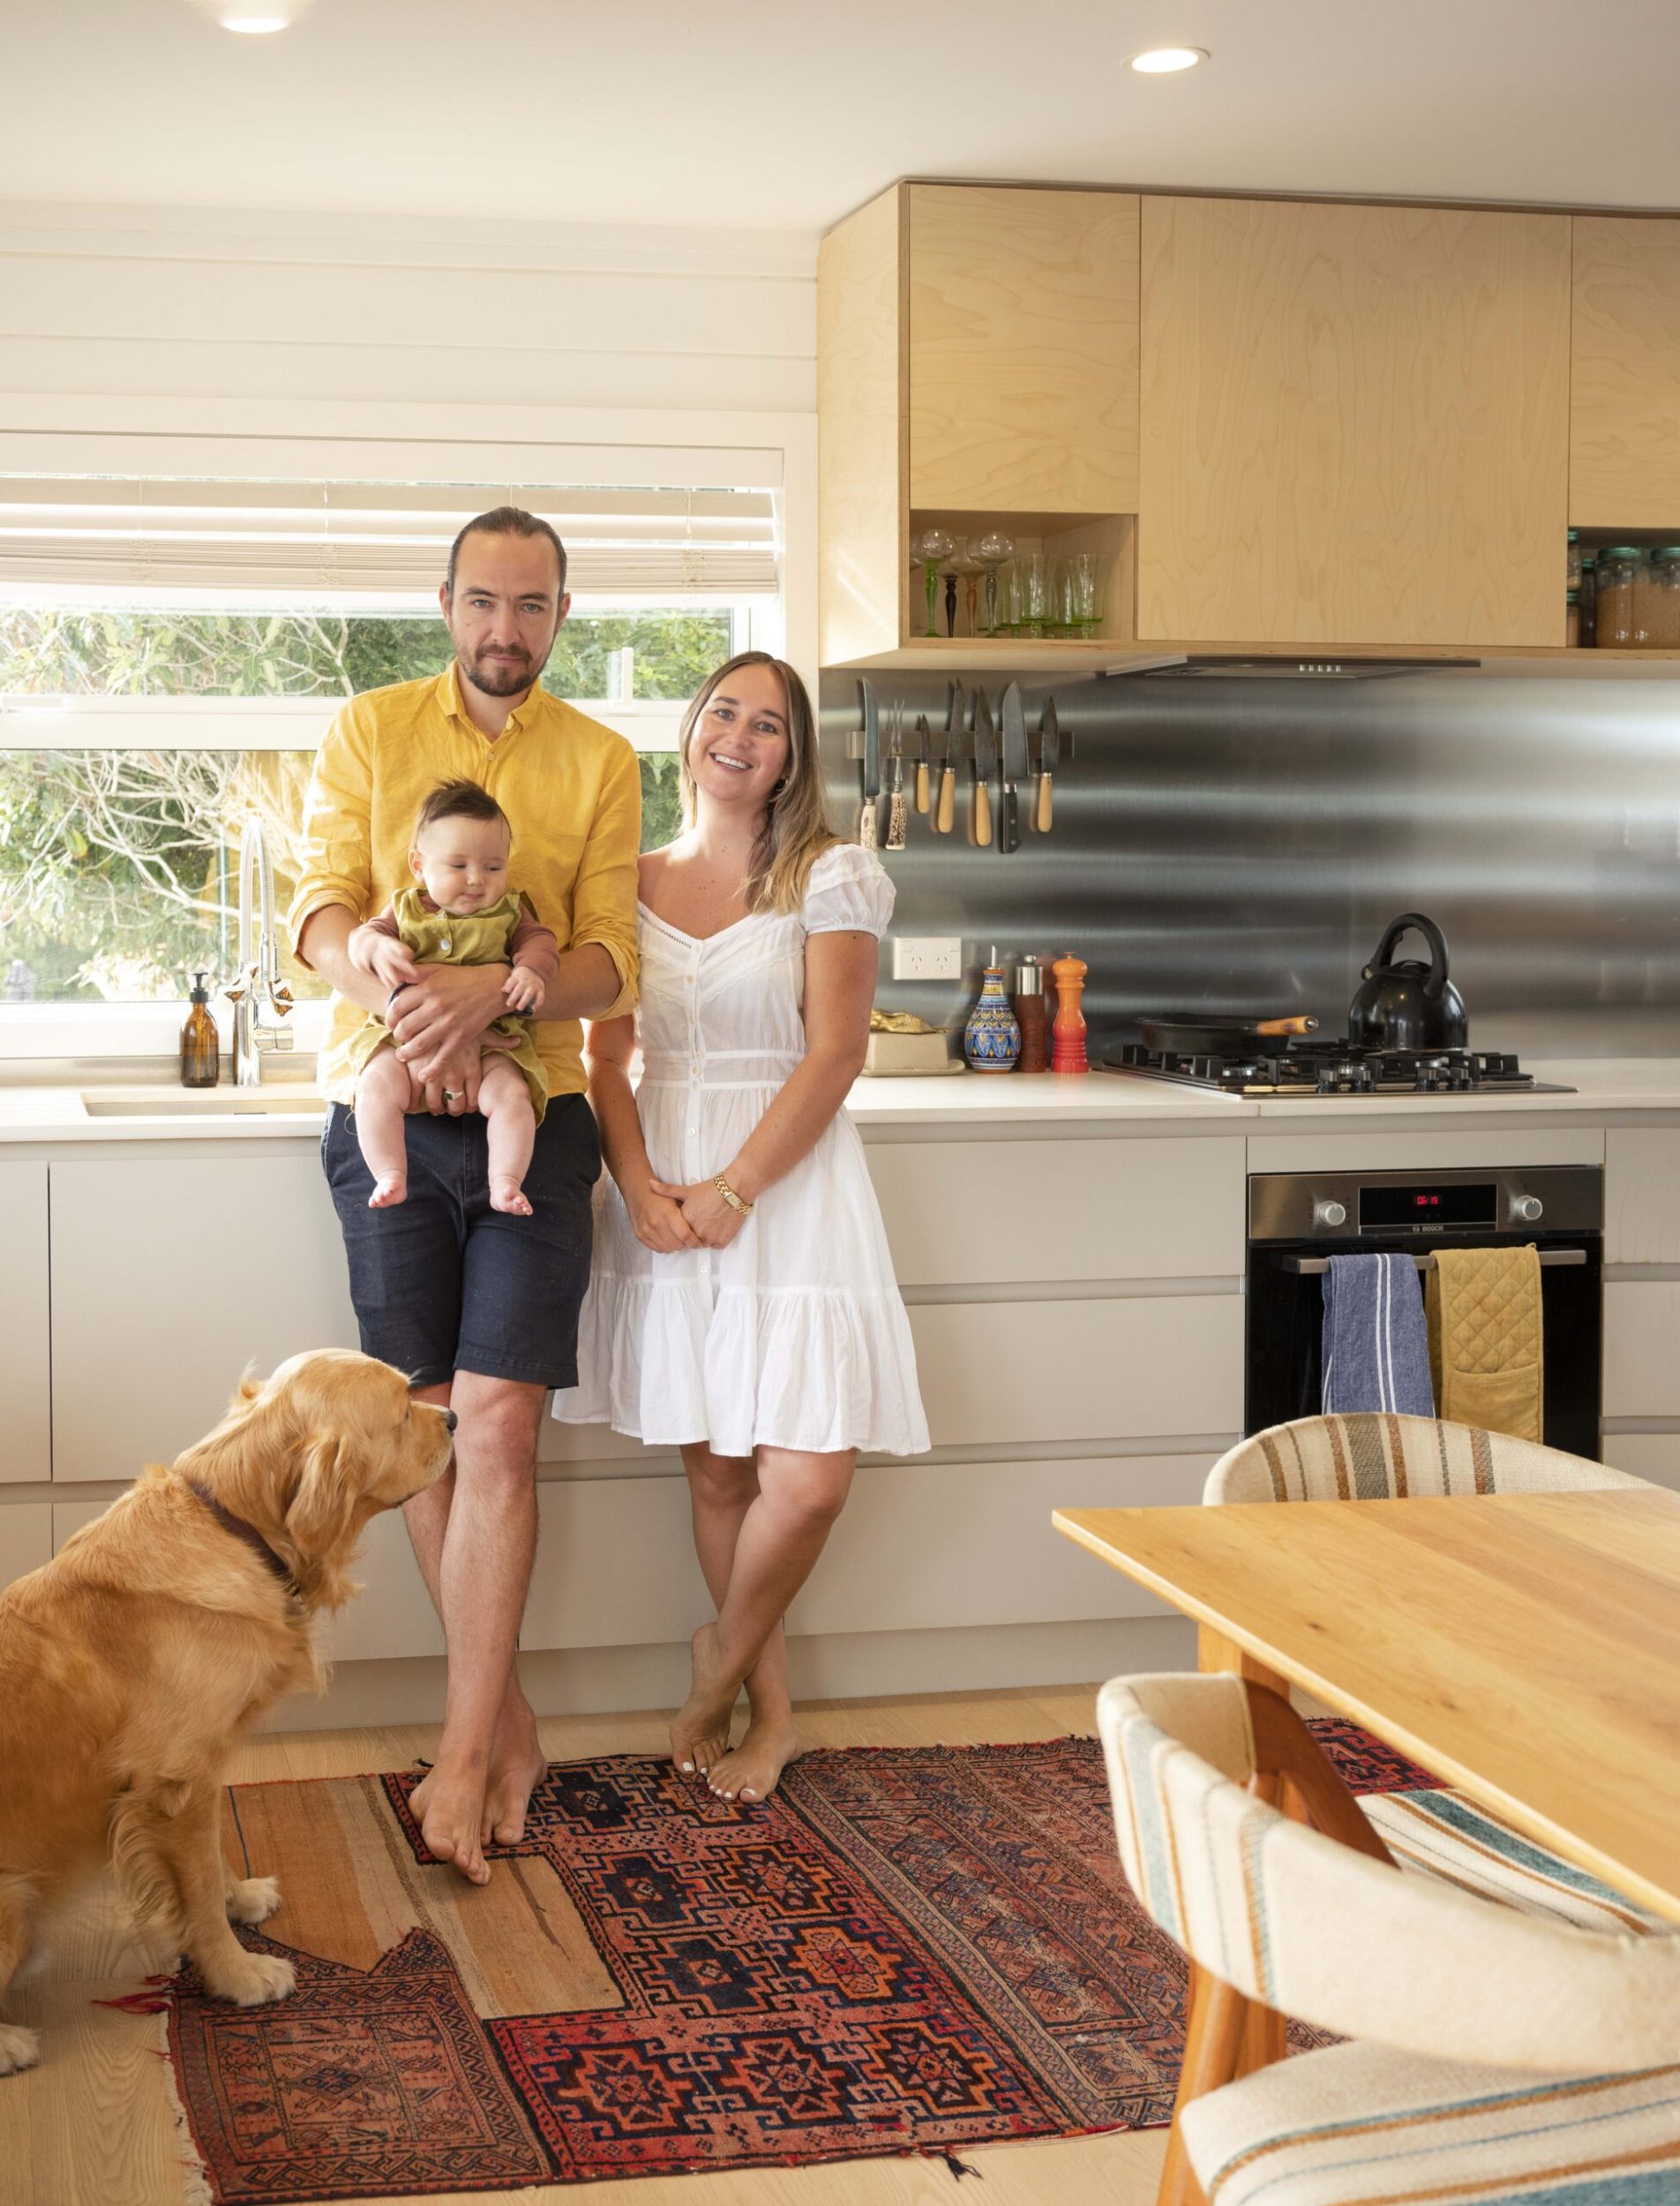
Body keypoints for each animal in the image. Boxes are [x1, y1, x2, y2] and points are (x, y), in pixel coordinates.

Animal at [0, 1341, 452, 2065]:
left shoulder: (203, 1774)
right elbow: (199, 1895)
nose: (457, 1417)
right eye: (403, 1409)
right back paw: (12, 2043)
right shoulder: (175, 1784)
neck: (238, 1530)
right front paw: (239, 1974)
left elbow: (213, 1864)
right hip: (12, 1903)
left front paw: (243, 1898)